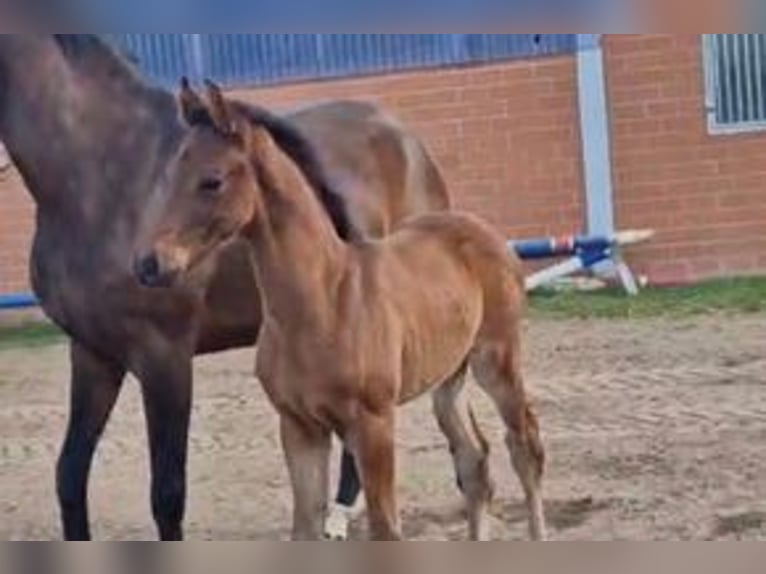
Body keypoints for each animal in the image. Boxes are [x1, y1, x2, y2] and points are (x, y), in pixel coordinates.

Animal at [0, 35, 449, 540]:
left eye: (210, 181)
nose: (150, 264)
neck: (102, 178)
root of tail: (404, 136)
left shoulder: (165, 356)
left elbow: (167, 492)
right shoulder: (93, 353)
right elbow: (70, 475)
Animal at [137, 80, 547, 541]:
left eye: (212, 180)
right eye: (170, 175)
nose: (150, 264)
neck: (323, 302)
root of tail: (482, 228)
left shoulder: (373, 424)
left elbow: (385, 528)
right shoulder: (299, 427)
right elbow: (304, 528)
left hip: (496, 360)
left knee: (525, 445)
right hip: (447, 379)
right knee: (474, 460)